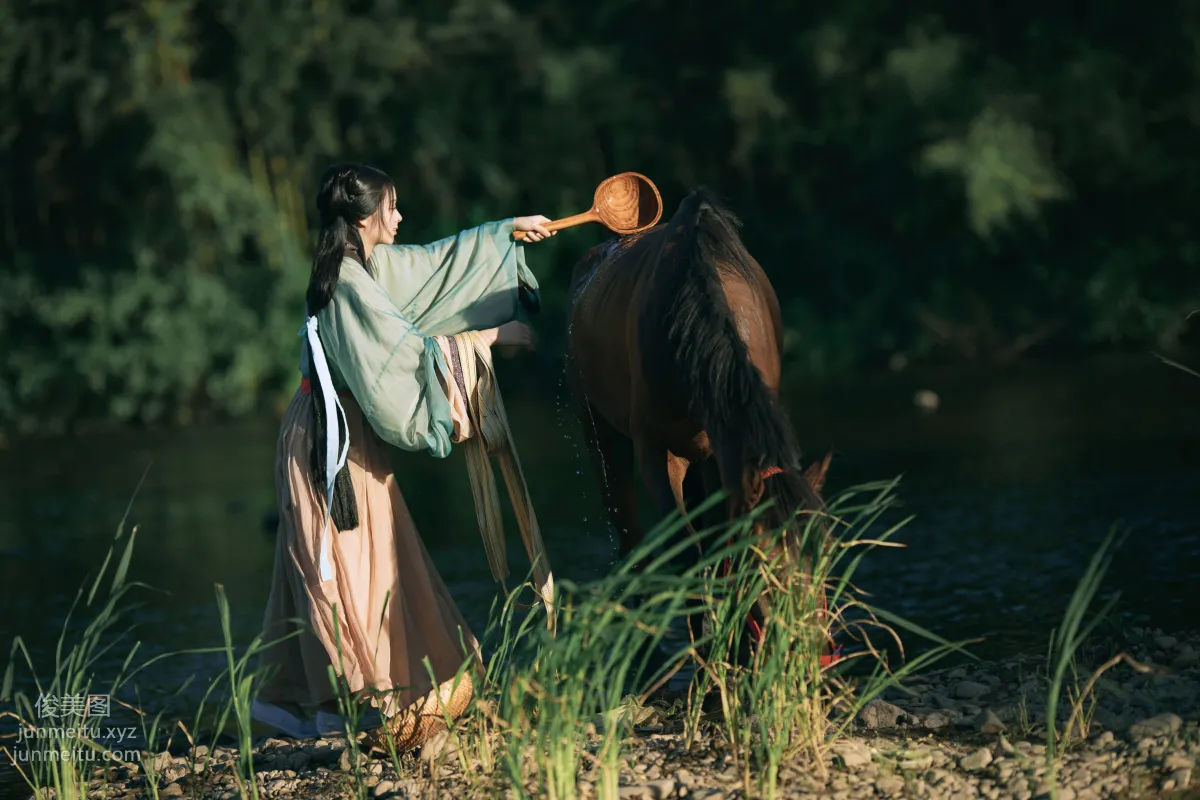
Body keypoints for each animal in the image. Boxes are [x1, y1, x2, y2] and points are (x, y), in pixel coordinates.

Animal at [564, 186, 833, 653]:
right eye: (766, 563)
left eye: (824, 557)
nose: (807, 650)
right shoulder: (657, 454)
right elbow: (687, 553)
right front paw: (708, 654)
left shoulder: (725, 458)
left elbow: (719, 548)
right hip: (603, 435)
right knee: (631, 537)